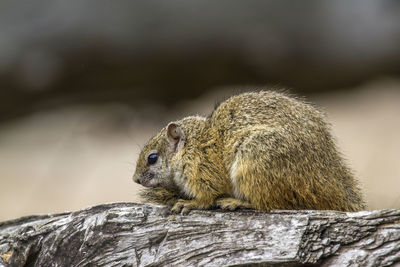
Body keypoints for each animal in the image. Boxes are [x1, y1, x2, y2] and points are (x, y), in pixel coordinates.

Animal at [133, 91, 364, 215]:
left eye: (152, 158)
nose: (135, 179)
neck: (192, 146)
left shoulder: (204, 172)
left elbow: (206, 198)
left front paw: (188, 203)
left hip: (254, 161)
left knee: (270, 204)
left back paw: (235, 202)